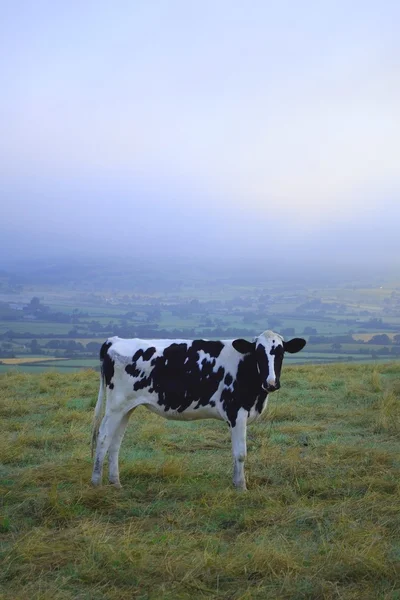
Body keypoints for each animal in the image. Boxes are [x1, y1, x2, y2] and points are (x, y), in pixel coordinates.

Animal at [92, 330, 306, 490]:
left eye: (281, 353)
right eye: (258, 353)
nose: (271, 383)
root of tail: (114, 340)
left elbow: (234, 452)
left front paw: (235, 483)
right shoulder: (236, 413)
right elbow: (240, 453)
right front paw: (241, 487)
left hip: (126, 407)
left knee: (116, 441)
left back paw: (115, 482)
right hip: (115, 406)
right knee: (103, 437)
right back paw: (96, 482)